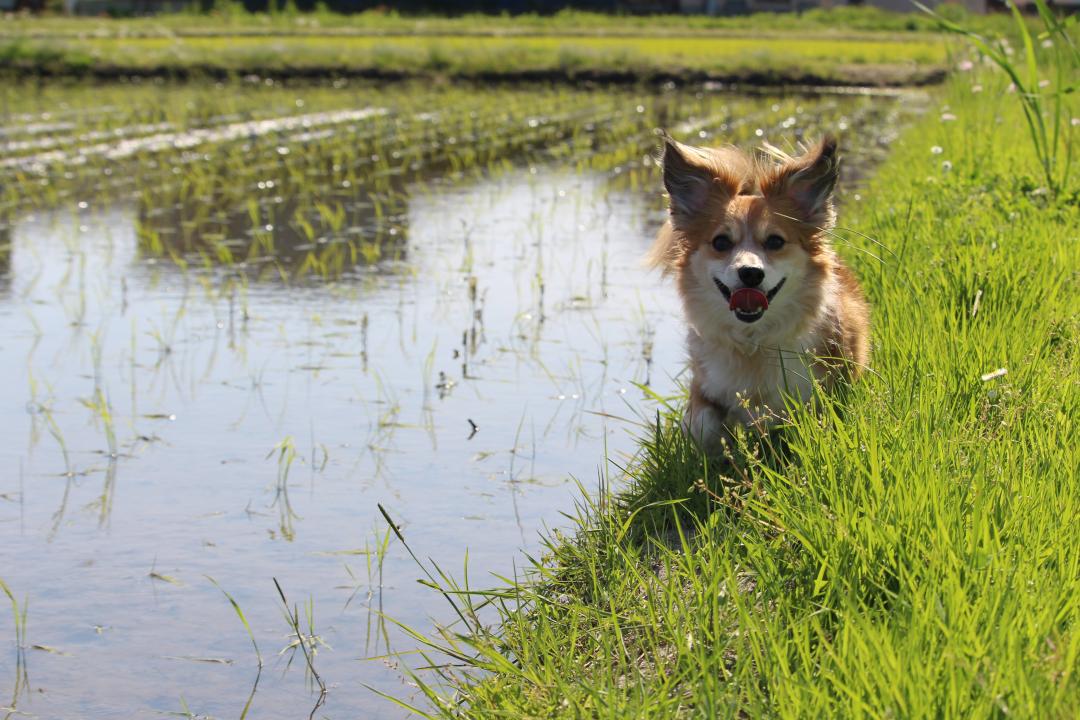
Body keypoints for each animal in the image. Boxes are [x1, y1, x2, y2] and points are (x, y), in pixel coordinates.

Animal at [643, 133, 872, 451]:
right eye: (721, 242)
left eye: (775, 241)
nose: (750, 272)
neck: (752, 340)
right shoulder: (706, 381)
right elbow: (702, 424)